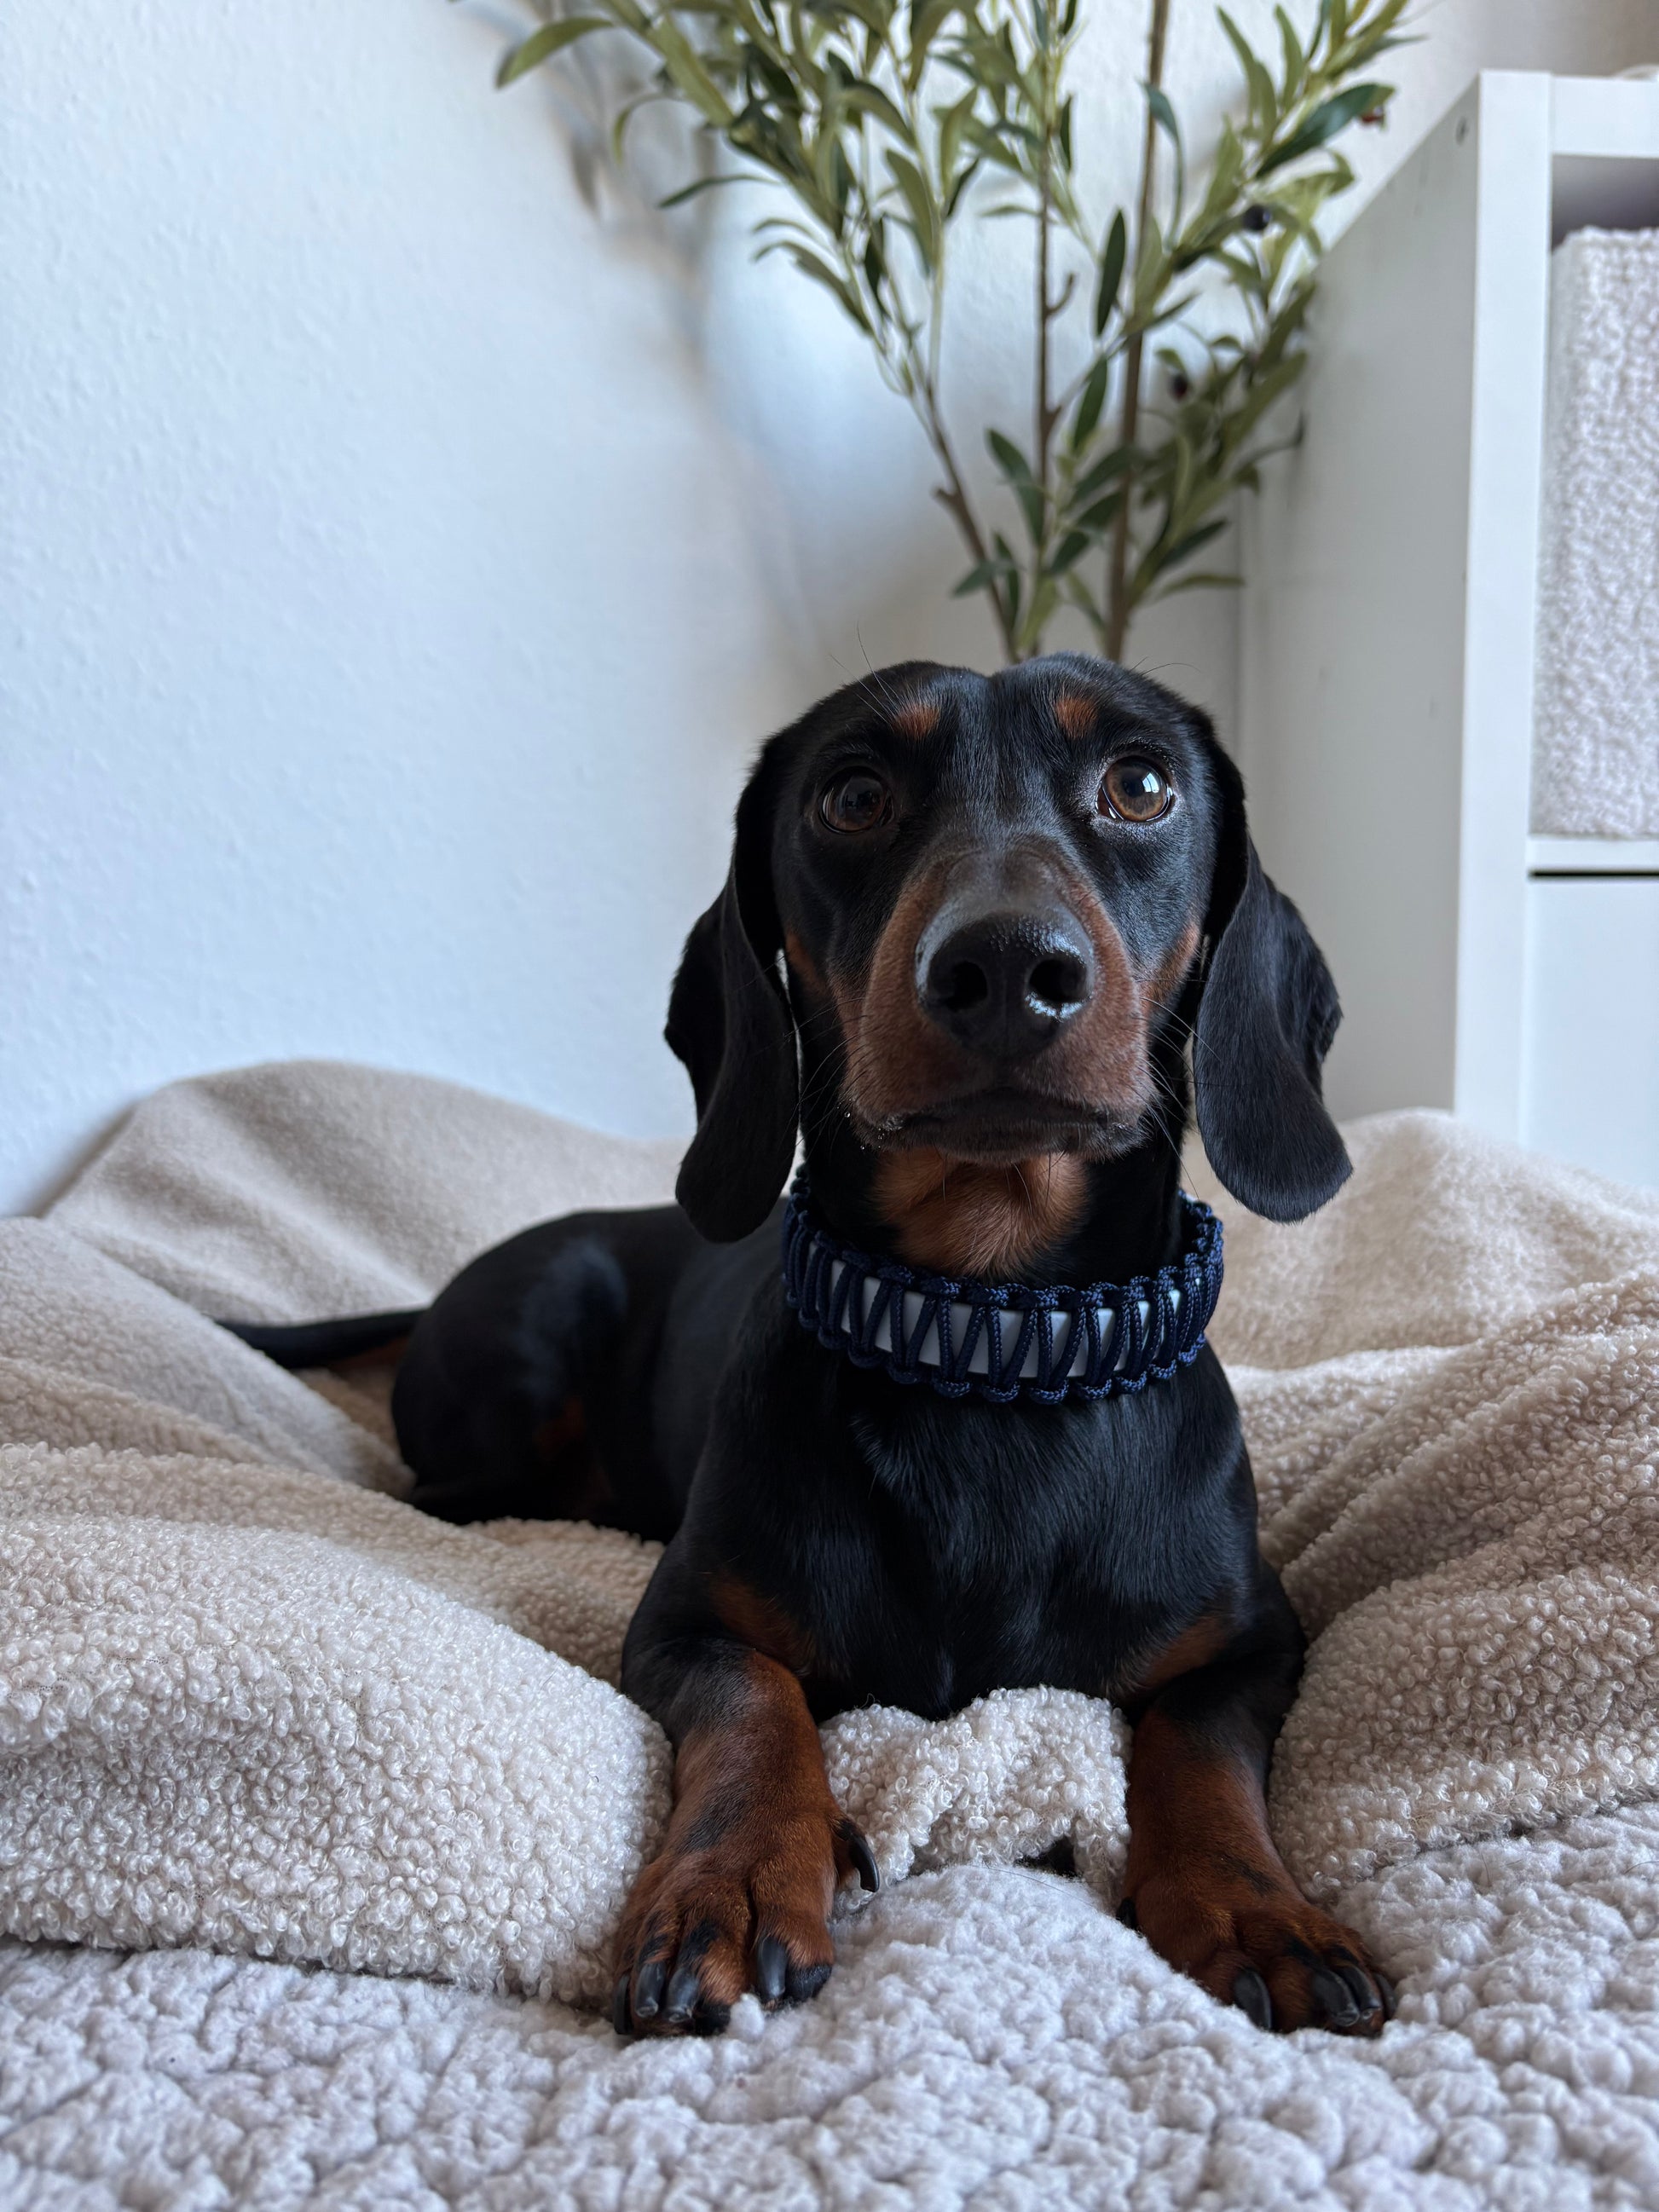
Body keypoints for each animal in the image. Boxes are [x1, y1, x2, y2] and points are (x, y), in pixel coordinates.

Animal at [228, 652, 1392, 2041]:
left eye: (1142, 783)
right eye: (851, 794)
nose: (1005, 965)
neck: (982, 1338)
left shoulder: (1260, 1638)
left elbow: (1199, 1743)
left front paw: (1253, 1904)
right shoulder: (682, 1623)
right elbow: (754, 1704)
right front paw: (734, 1879)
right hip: (532, 1345)